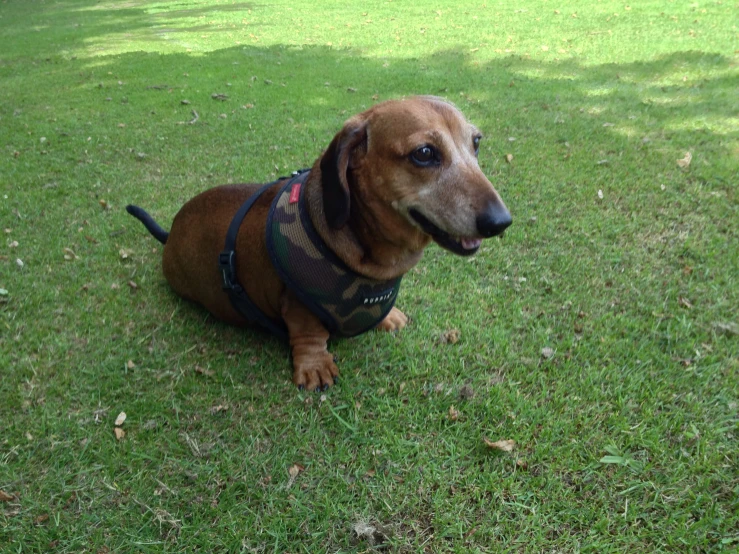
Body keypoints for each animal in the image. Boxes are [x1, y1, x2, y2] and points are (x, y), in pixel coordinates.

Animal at [125, 96, 508, 388]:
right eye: (424, 153)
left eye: (476, 142)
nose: (501, 222)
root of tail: (171, 232)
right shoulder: (298, 306)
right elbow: (309, 334)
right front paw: (314, 364)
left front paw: (387, 317)